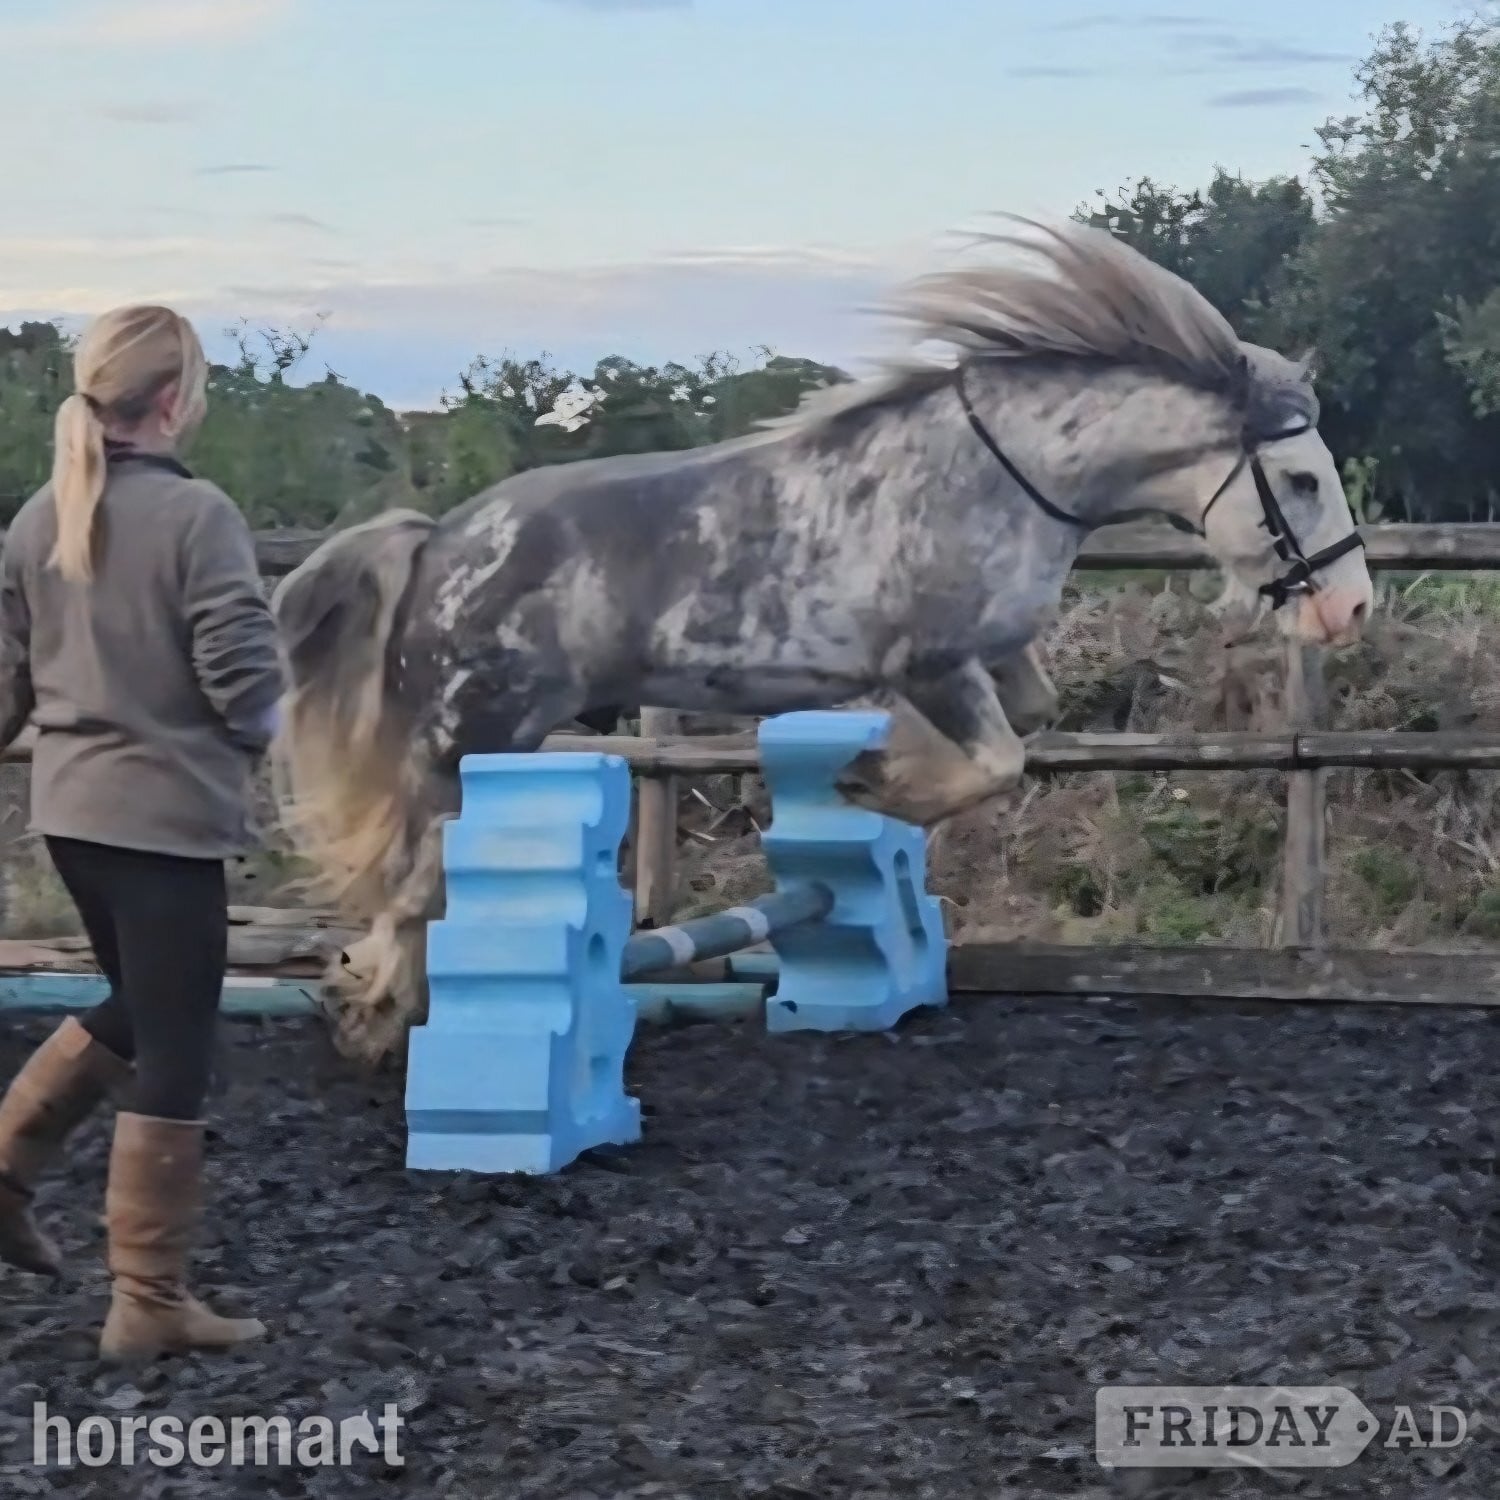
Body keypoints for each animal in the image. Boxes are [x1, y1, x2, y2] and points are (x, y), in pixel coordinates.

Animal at [269, 217, 1373, 1063]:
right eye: (1303, 479)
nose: (1352, 609)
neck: (997, 475)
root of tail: (437, 542)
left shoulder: (992, 658)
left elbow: (1028, 723)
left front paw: (880, 773)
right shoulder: (932, 663)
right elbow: (1000, 761)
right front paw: (872, 785)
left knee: (418, 889)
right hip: (469, 737)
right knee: (408, 889)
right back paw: (374, 1016)